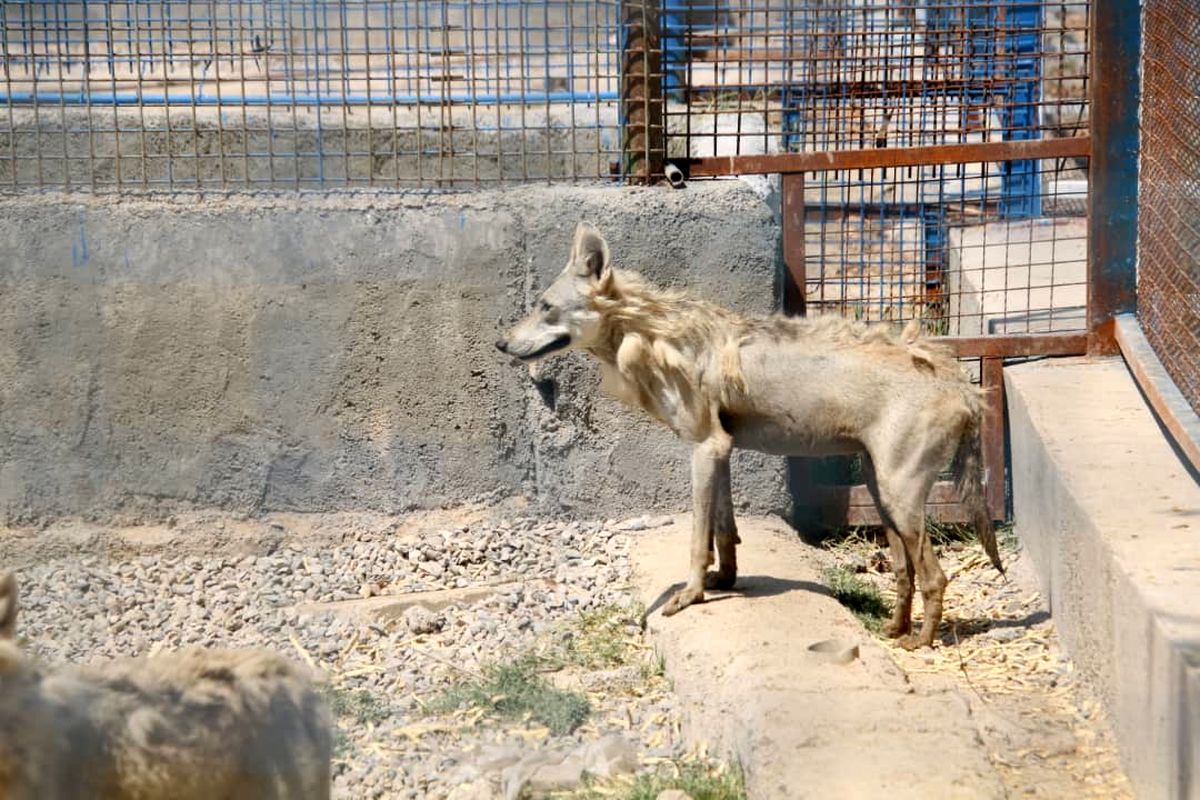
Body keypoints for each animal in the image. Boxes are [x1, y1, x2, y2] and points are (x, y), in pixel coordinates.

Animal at [496, 221, 1003, 647]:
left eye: (544, 306)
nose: (500, 343)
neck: (655, 335)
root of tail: (960, 381)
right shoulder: (720, 451)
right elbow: (724, 532)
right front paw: (724, 581)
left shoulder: (706, 448)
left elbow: (697, 538)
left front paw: (691, 595)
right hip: (884, 497)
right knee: (904, 570)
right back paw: (894, 630)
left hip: (899, 499)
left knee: (935, 577)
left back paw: (921, 643)